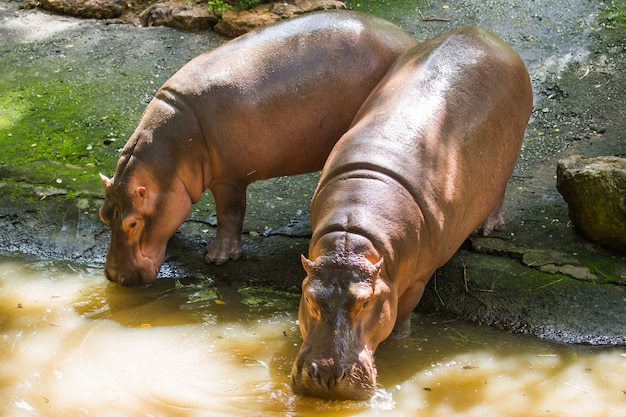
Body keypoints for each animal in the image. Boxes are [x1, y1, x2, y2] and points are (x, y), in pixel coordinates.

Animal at [98, 9, 414, 284]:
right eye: (103, 215)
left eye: (132, 223)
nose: (114, 276)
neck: (170, 158)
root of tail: (405, 39)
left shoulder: (228, 179)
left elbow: (229, 214)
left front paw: (217, 258)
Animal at [288, 26, 532, 400]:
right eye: (310, 298)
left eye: (365, 303)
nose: (327, 375)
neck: (353, 239)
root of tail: (482, 33)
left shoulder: (417, 279)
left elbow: (402, 315)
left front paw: (401, 343)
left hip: (509, 157)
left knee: (499, 192)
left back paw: (488, 227)